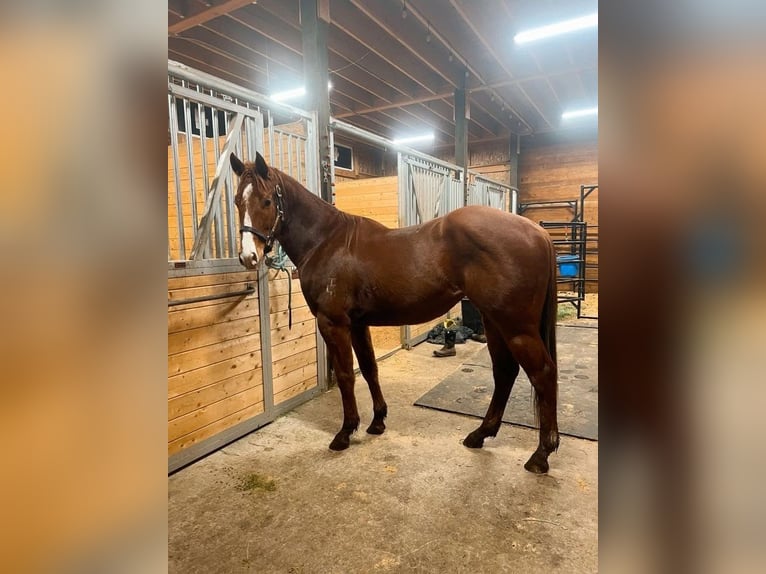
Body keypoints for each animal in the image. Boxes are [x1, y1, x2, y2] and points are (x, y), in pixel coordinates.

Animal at [230, 151, 559, 473]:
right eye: (236, 200)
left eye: (266, 201)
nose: (248, 256)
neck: (326, 241)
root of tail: (537, 232)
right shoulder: (358, 324)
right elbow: (369, 369)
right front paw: (377, 422)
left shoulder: (333, 324)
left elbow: (346, 375)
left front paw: (345, 432)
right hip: (494, 322)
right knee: (505, 372)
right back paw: (480, 435)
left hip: (516, 327)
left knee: (542, 373)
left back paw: (541, 454)